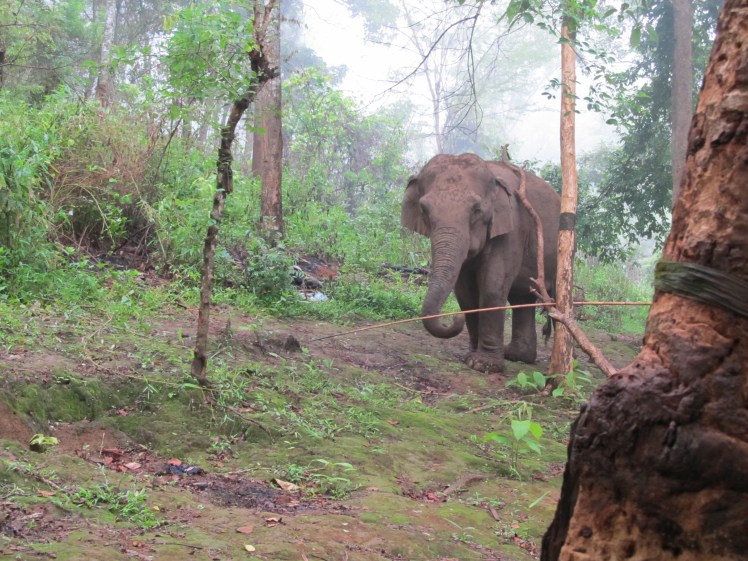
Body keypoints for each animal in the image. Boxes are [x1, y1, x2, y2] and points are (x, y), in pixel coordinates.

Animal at [401, 153, 560, 373]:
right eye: (424, 209)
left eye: (476, 210)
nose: (454, 317)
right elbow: (464, 292)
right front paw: (470, 356)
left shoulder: (512, 227)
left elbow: (492, 286)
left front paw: (483, 365)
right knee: (522, 299)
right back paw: (516, 355)